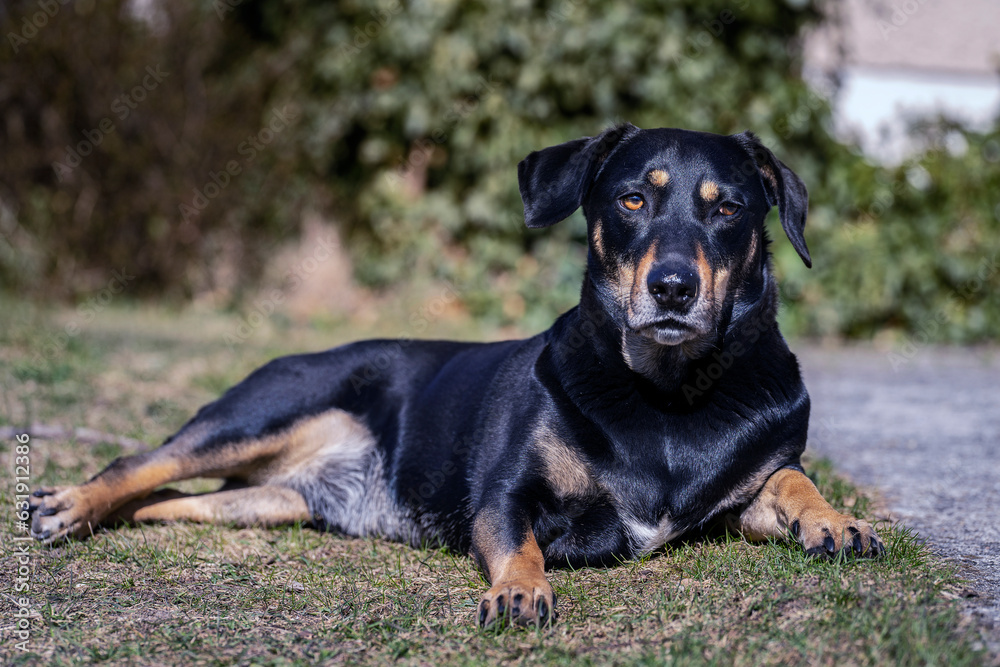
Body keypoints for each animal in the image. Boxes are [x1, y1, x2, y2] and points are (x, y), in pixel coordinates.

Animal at [29, 122, 884, 628]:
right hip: (262, 410)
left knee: (170, 499)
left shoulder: (740, 494)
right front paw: (519, 589)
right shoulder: (505, 492)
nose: (672, 287)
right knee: (145, 459)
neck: (665, 393)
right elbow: (518, 540)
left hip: (266, 502)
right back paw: (68, 505)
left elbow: (789, 478)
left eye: (728, 208)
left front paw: (835, 518)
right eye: (634, 199)